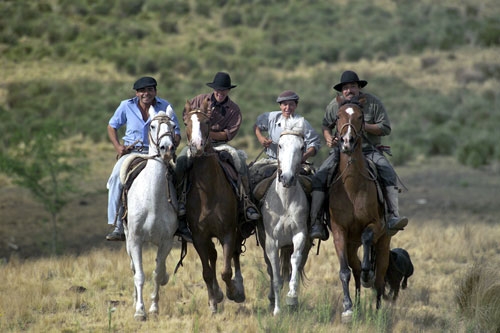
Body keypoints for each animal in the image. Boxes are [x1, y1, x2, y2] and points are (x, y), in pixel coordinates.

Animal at [120, 105, 179, 320]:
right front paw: (140, 310)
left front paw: (153, 307)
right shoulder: (136, 239)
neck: (152, 199)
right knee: (133, 268)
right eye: (152, 126)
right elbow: (139, 274)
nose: (166, 148)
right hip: (128, 238)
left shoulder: (166, 241)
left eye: (173, 126)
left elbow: (157, 273)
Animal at [184, 97, 246, 312]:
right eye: (186, 123)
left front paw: (233, 293)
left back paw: (239, 288)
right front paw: (213, 300)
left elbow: (226, 270)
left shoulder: (228, 231)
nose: (197, 146)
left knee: (234, 254)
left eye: (207, 122)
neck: (208, 192)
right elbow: (207, 272)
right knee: (212, 256)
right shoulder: (199, 237)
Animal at [258, 118, 312, 316]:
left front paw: (292, 296)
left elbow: (295, 261)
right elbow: (275, 276)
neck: (285, 202)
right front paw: (277, 310)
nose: (287, 178)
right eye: (280, 145)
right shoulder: (271, 242)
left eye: (302, 147)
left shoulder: (300, 234)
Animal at [328, 94, 390, 322]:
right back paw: (357, 305)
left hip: (384, 242)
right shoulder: (339, 231)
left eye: (361, 116)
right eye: (338, 116)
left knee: (379, 278)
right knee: (354, 270)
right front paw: (347, 308)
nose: (347, 142)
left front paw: (367, 275)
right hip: (351, 246)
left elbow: (367, 239)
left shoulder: (375, 225)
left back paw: (378, 311)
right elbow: (344, 271)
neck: (352, 187)